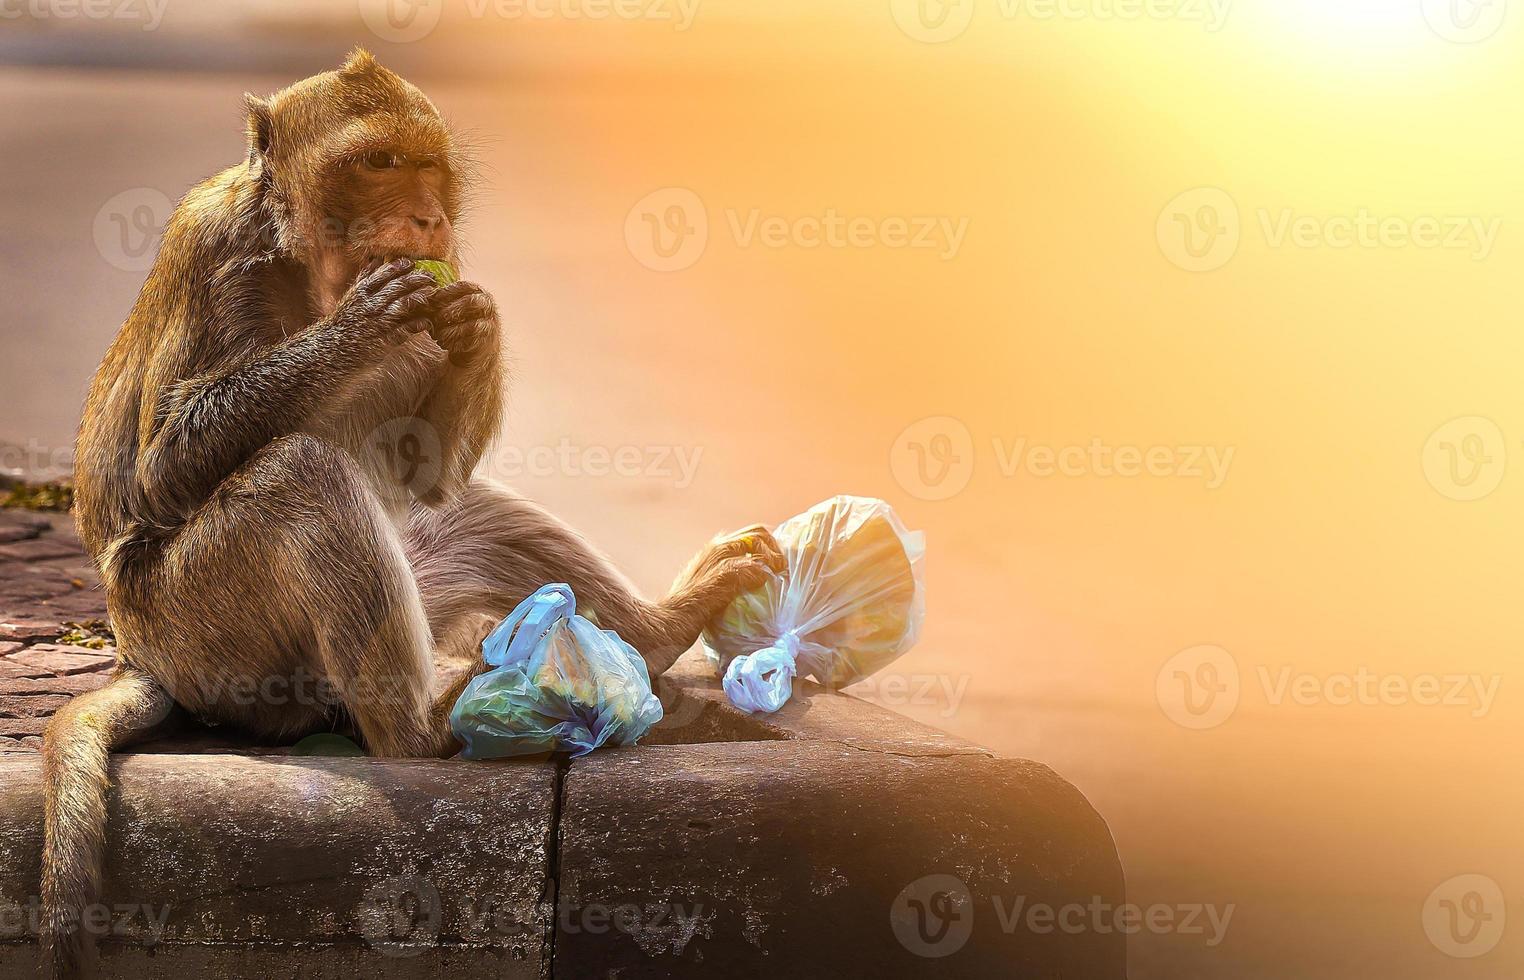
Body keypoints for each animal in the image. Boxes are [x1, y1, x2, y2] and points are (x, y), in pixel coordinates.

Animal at [41, 53, 786, 980]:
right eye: (380, 163)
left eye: (431, 167)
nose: (429, 215)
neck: (303, 263)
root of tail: (139, 651)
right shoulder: (211, 245)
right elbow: (162, 469)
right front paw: (357, 328)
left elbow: (429, 469)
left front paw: (478, 330)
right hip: (203, 636)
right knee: (302, 475)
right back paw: (422, 727)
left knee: (461, 514)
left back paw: (657, 629)